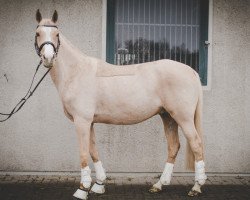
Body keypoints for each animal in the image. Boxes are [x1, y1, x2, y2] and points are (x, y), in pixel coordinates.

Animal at [34, 9, 208, 200]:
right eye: (38, 33)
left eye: (57, 35)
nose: (48, 58)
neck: (77, 72)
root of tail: (191, 71)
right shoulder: (90, 122)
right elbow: (93, 150)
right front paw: (99, 184)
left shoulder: (81, 121)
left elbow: (83, 152)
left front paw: (82, 189)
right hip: (168, 116)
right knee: (173, 146)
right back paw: (158, 185)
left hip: (183, 118)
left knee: (196, 144)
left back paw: (196, 187)